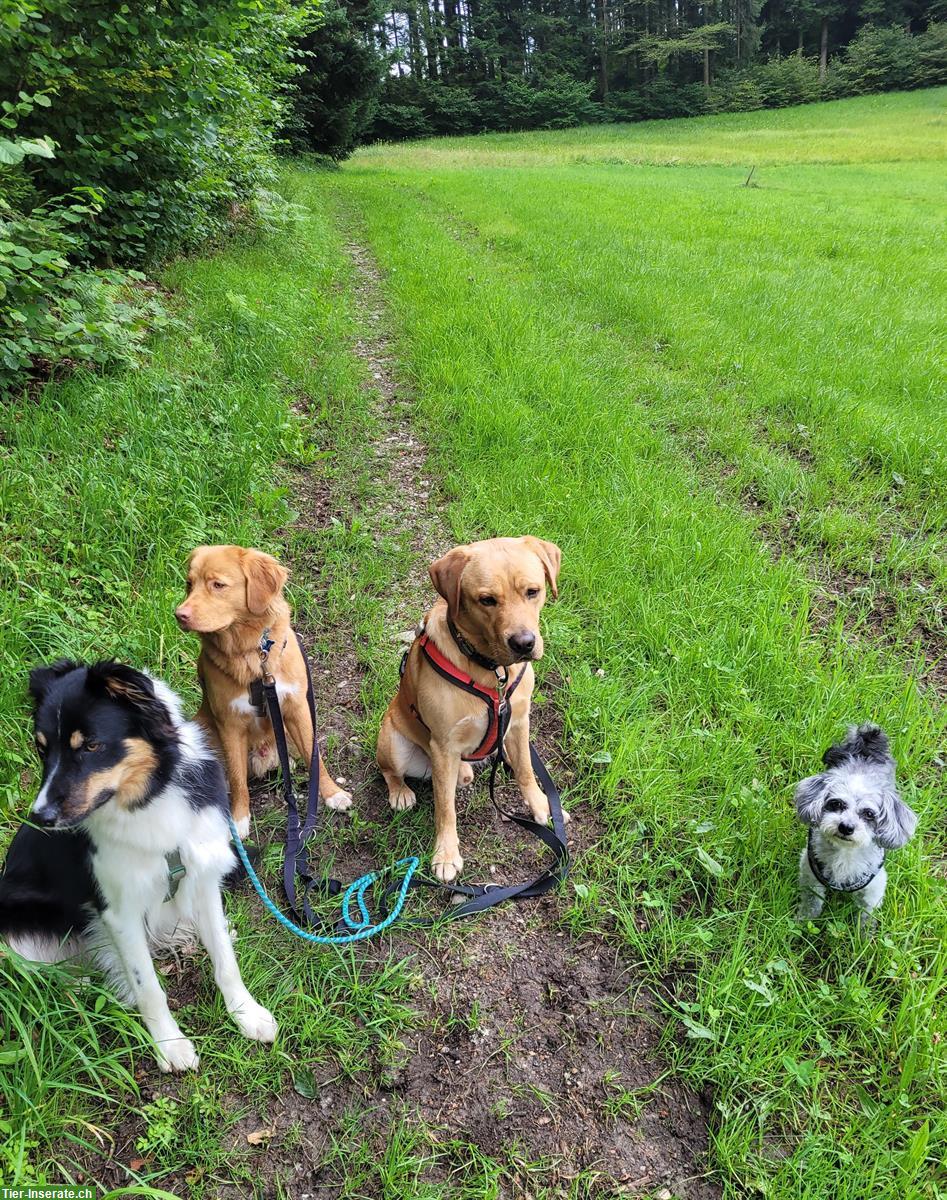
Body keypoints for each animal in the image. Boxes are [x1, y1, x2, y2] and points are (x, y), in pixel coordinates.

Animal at [0, 662, 274, 1075]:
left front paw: (246, 1013)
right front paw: (170, 1045)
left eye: (91, 746)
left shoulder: (202, 876)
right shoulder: (119, 910)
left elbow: (225, 961)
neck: (148, 800)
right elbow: (148, 987)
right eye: (42, 748)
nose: (41, 817)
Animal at [174, 544, 350, 835]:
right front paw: (239, 820)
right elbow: (237, 779)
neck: (251, 655)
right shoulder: (229, 723)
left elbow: (314, 758)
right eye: (189, 584)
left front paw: (332, 793)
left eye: (218, 585)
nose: (180, 615)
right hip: (203, 731)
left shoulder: (296, 708)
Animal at [376, 537, 564, 883]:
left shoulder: (519, 721)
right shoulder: (444, 745)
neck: (492, 671)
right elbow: (445, 808)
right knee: (390, 770)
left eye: (533, 591)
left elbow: (526, 771)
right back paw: (400, 792)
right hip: (393, 741)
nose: (524, 643)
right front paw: (446, 854)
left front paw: (542, 806)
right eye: (486, 600)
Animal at [792, 720, 916, 926]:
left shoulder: (875, 886)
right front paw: (804, 921)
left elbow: (866, 913)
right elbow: (811, 901)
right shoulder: (810, 872)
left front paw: (863, 933)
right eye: (836, 804)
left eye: (869, 814)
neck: (845, 853)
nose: (846, 827)